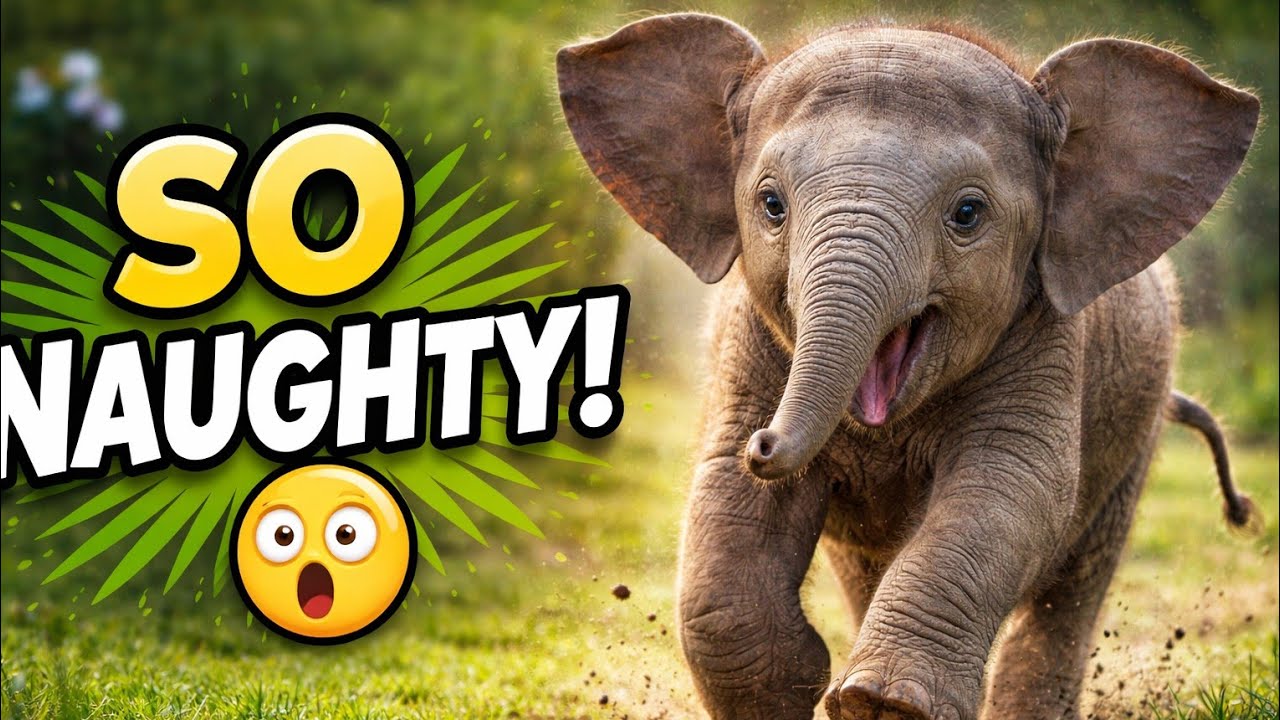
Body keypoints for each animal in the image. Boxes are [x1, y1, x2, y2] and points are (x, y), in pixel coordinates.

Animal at [556, 13, 1260, 720]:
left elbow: (1011, 488)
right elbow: (730, 500)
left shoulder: (1048, 334)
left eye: (968, 214)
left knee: (1071, 589)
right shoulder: (748, 339)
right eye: (771, 205)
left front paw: (883, 702)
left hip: (1136, 431)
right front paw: (804, 685)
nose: (765, 444)